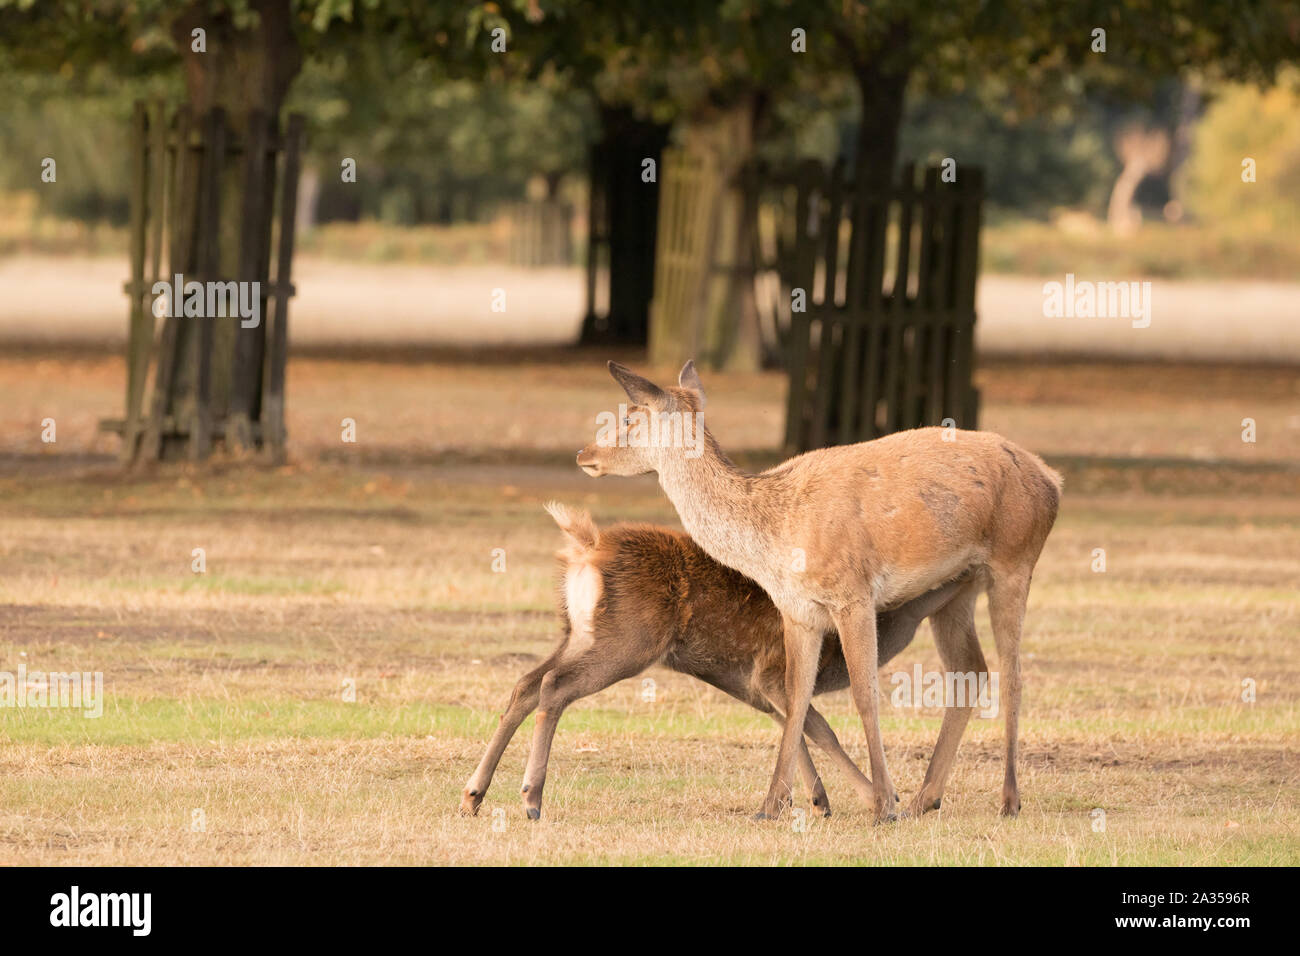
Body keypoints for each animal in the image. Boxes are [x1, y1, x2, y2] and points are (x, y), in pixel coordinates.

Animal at [585, 361, 1060, 822]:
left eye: (628, 417)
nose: (584, 454)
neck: (775, 536)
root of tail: (1052, 479)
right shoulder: (798, 610)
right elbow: (796, 698)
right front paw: (772, 806)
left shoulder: (853, 593)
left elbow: (865, 694)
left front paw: (884, 806)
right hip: (959, 587)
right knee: (970, 669)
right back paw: (925, 799)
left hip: (1014, 560)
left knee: (1012, 673)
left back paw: (1007, 800)